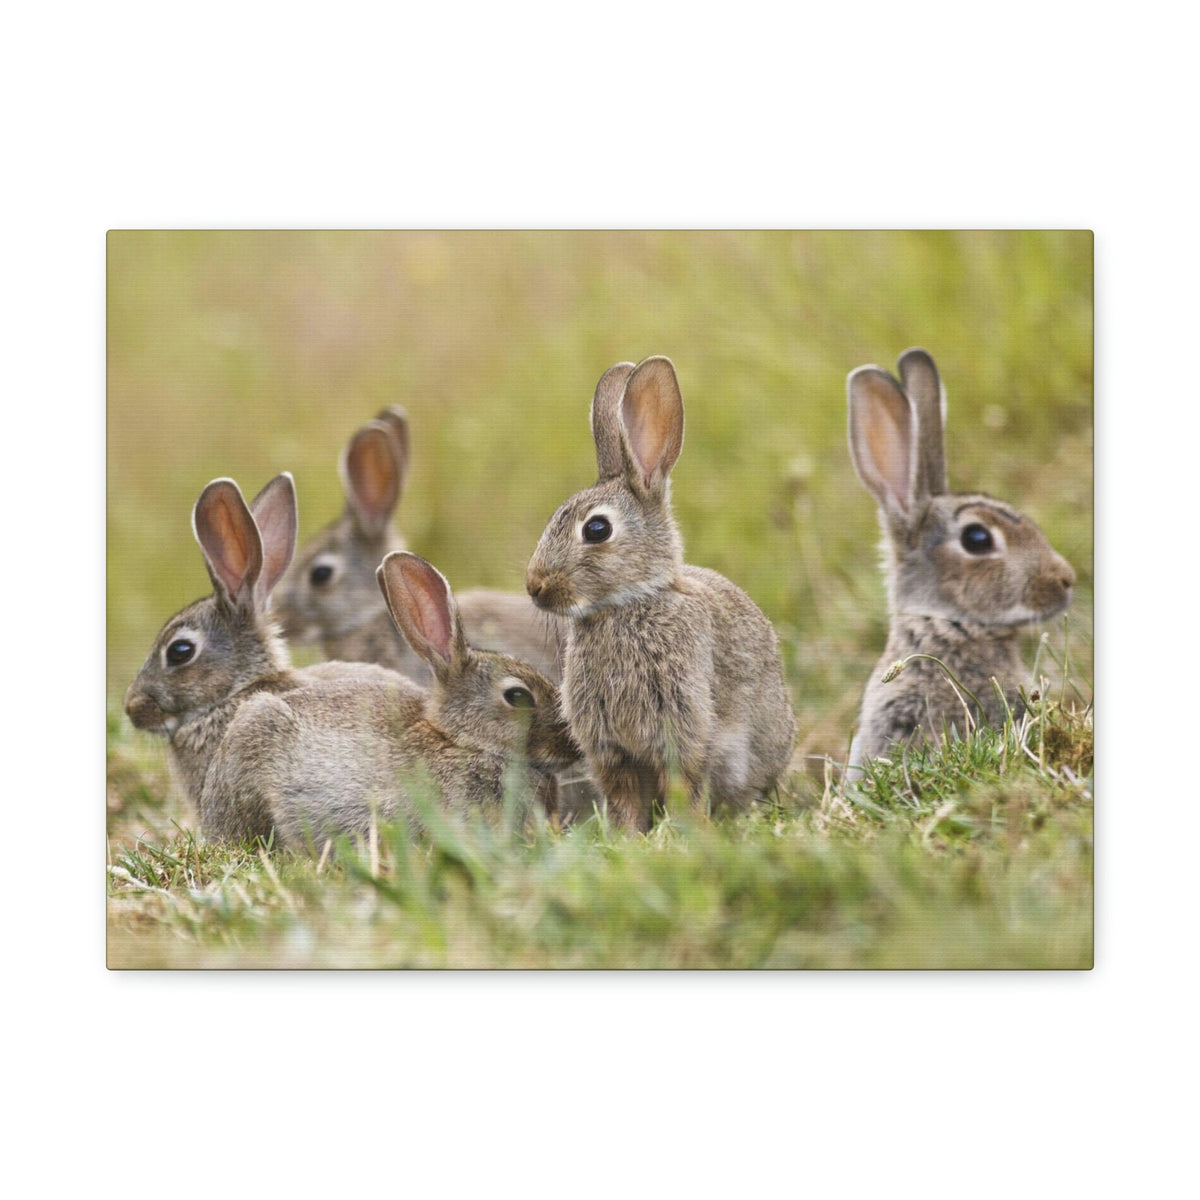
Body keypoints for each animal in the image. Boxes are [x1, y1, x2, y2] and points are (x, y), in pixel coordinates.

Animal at [525, 356, 797, 834]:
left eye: (597, 529)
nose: (534, 586)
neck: (627, 604)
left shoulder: (682, 728)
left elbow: (684, 785)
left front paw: (687, 832)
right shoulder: (612, 750)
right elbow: (624, 798)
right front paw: (628, 837)